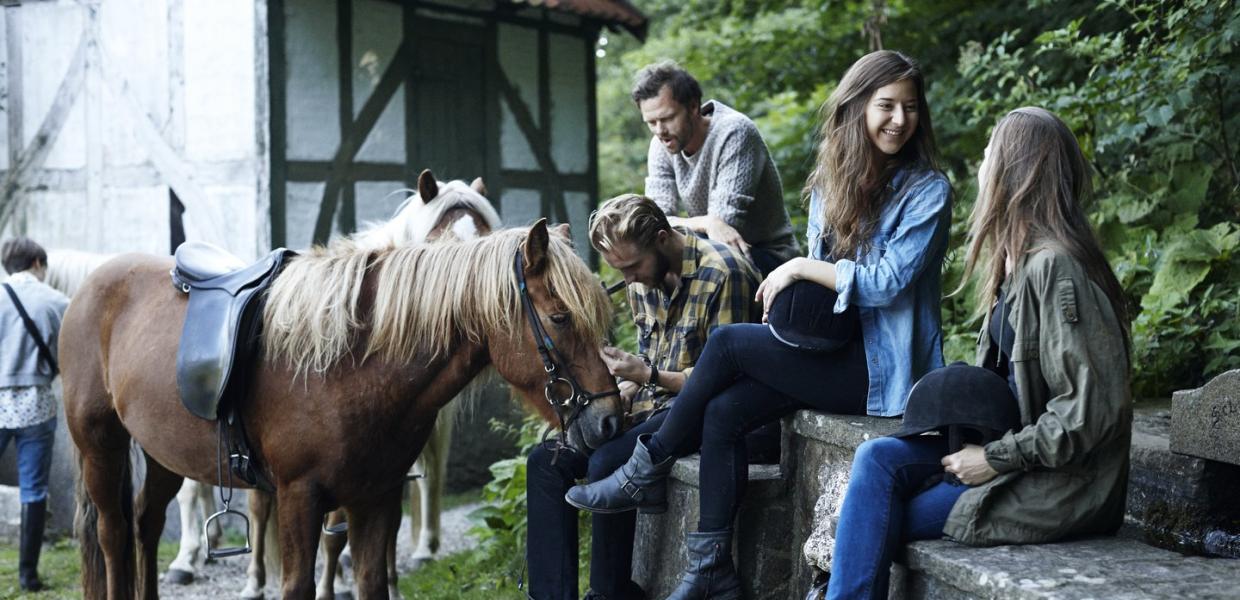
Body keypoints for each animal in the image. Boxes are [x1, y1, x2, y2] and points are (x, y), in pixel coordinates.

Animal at [62, 221, 620, 600]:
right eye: (560, 317)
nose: (610, 418)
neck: (350, 364)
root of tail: (92, 284)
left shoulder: (376, 497)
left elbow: (371, 582)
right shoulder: (299, 496)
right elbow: (298, 586)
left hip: (161, 452)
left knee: (145, 525)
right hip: (100, 444)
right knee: (112, 532)